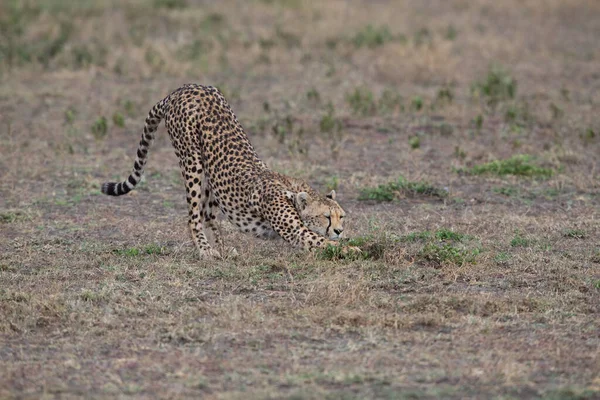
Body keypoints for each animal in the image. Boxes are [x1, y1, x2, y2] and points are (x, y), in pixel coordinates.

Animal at [102, 85, 360, 260]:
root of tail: (182, 89)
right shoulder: (296, 231)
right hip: (191, 161)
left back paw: (224, 249)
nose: (339, 230)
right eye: (326, 217)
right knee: (193, 216)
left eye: (342, 216)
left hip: (211, 177)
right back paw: (206, 251)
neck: (293, 192)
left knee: (208, 214)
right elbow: (324, 242)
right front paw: (354, 249)